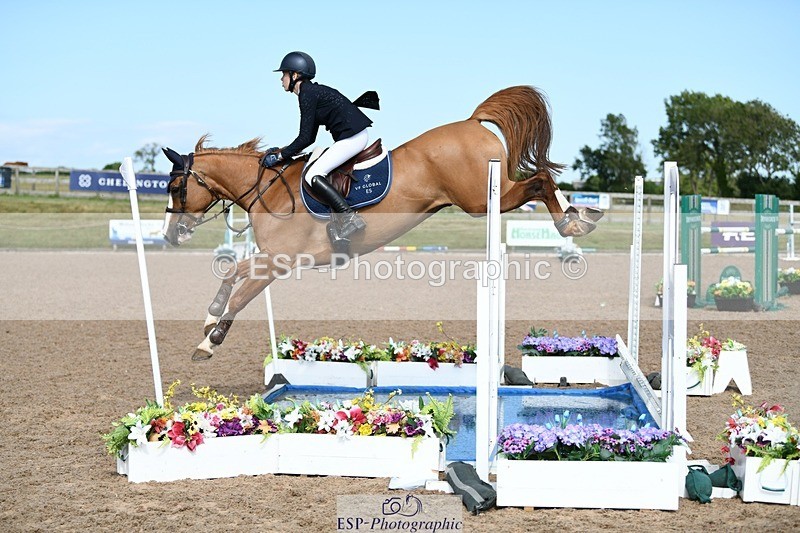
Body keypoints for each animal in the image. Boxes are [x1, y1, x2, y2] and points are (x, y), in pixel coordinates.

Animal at [161, 86, 603, 360]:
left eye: (176, 188)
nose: (169, 236)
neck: (268, 190)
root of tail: (472, 121)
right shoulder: (269, 259)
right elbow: (231, 273)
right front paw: (208, 318)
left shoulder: (277, 262)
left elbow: (241, 295)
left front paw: (210, 343)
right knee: (540, 179)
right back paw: (582, 217)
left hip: (481, 200)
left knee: (540, 179)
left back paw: (575, 224)